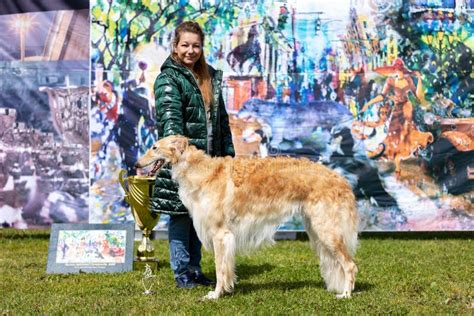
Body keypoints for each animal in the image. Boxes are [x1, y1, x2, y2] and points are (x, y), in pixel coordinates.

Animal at [135, 135, 358, 300]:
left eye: (154, 147)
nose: (136, 164)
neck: (202, 171)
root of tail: (341, 180)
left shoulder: (220, 234)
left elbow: (219, 268)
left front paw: (215, 295)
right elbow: (225, 268)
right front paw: (225, 290)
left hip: (326, 230)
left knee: (350, 265)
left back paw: (346, 294)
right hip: (317, 229)